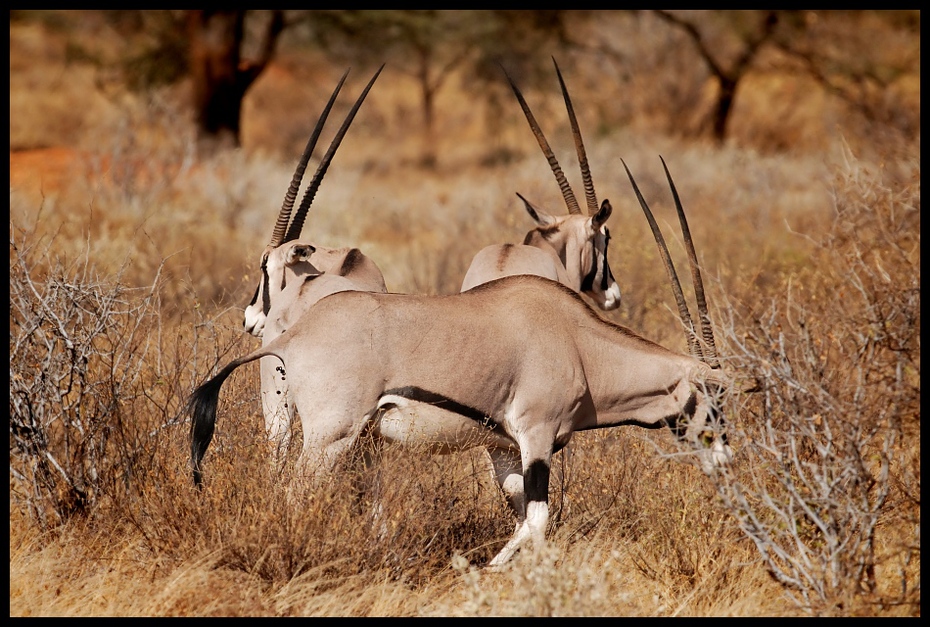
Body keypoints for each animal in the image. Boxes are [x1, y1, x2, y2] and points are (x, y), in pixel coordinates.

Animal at [185, 157, 728, 568]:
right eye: (714, 396)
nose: (725, 459)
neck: (579, 344)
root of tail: (293, 335)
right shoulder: (536, 436)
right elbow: (537, 520)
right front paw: (482, 572)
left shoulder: (507, 448)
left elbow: (525, 519)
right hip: (330, 436)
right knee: (293, 494)